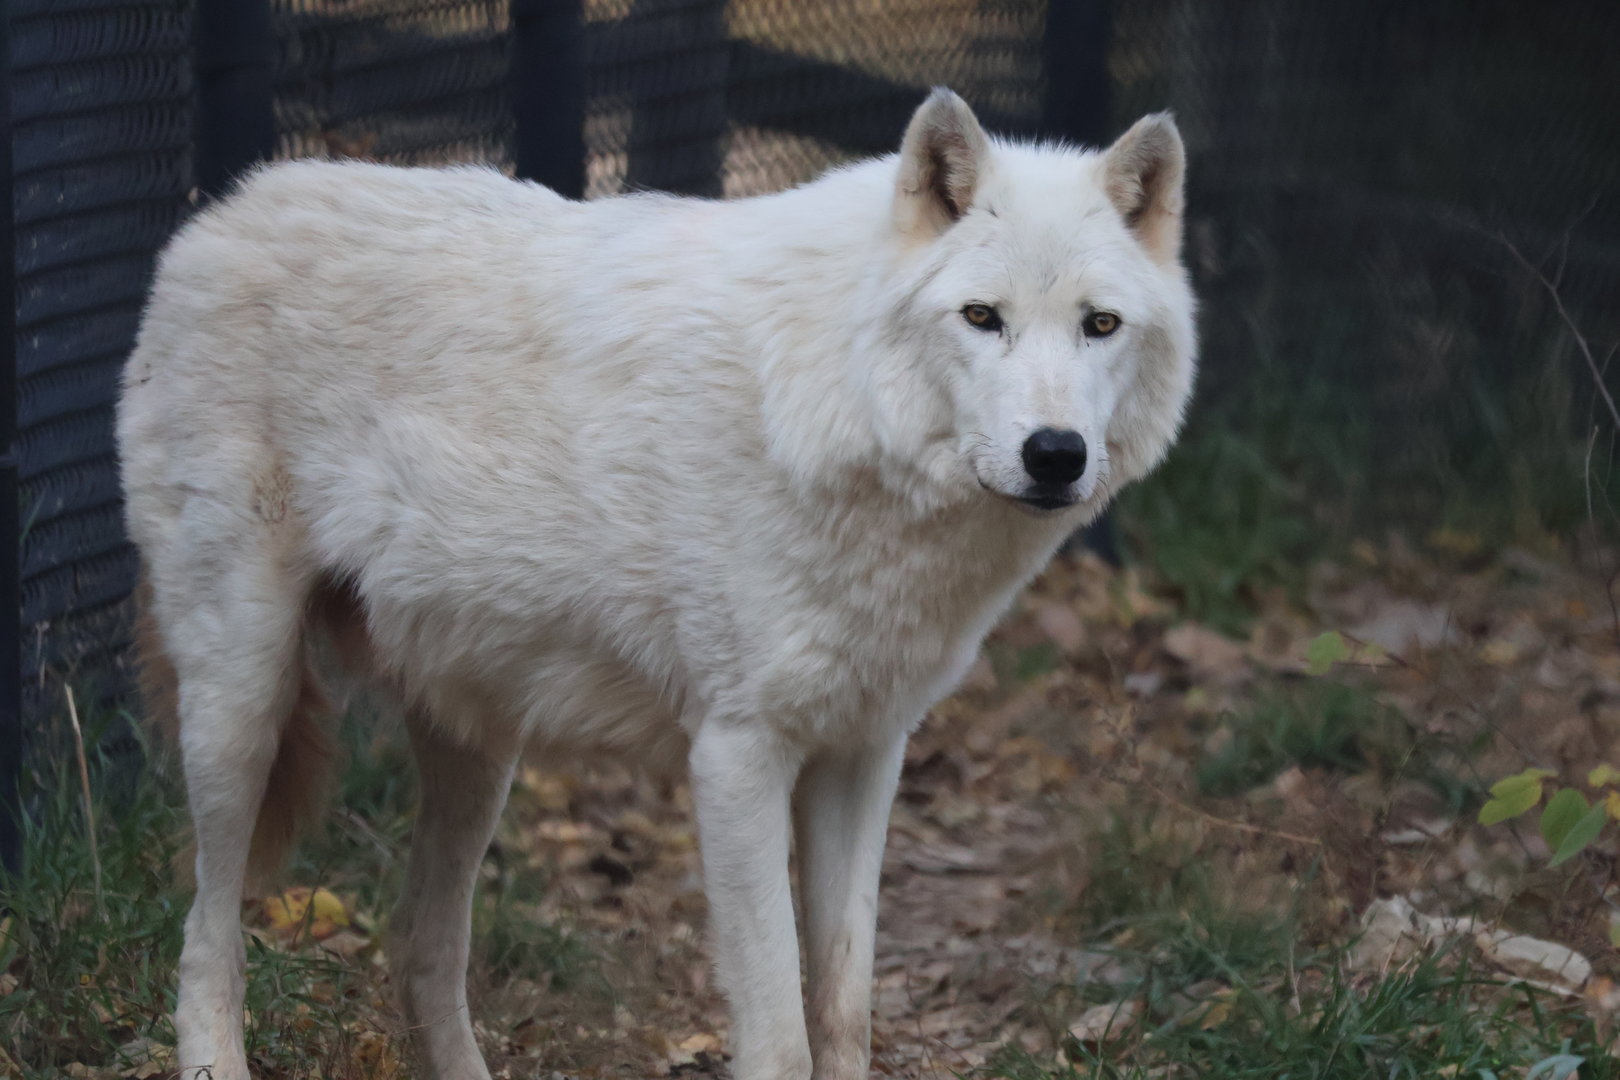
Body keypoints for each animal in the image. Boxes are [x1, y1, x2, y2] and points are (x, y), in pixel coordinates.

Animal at [118, 89, 1195, 1079]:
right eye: (982, 318)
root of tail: (219, 212)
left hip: (476, 750)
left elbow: (843, 1014)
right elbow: (780, 1036)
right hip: (242, 708)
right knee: (206, 935)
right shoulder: (736, 756)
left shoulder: (863, 751)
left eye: (1100, 325)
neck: (839, 404)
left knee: (420, 946)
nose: (1055, 454)